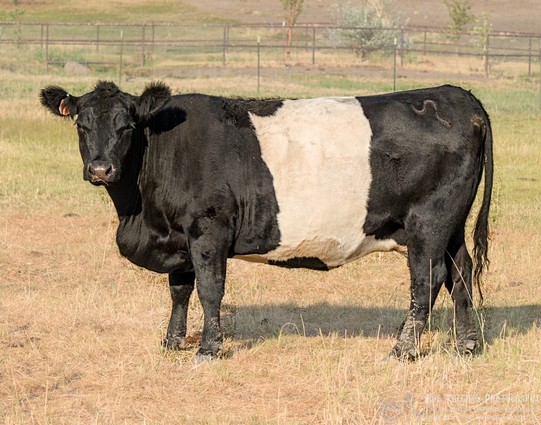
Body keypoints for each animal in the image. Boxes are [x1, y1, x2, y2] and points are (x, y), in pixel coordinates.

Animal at [40, 82, 492, 362]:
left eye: (127, 126)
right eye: (82, 125)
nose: (102, 169)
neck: (140, 214)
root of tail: (457, 96)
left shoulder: (208, 229)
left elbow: (209, 290)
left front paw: (208, 349)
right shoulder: (180, 236)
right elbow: (179, 290)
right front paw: (171, 342)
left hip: (428, 222)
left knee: (428, 279)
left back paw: (403, 350)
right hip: (451, 226)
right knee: (460, 273)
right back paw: (467, 345)